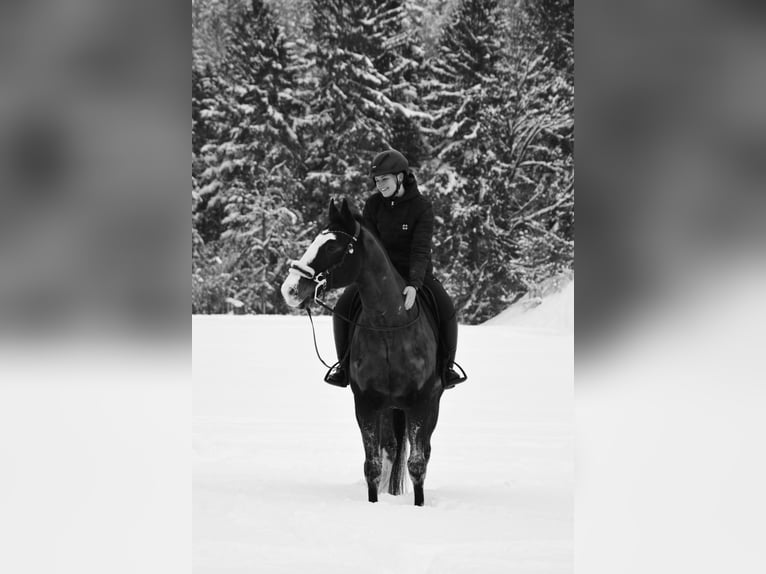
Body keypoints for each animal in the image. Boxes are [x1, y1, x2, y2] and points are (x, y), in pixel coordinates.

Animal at [280, 198, 443, 506]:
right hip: (389, 410)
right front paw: (374, 503)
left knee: (422, 452)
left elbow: (417, 465)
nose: (290, 289)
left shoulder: (420, 403)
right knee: (390, 449)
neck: (389, 327)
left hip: (429, 405)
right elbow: (373, 465)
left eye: (332, 247)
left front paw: (419, 506)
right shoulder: (366, 403)